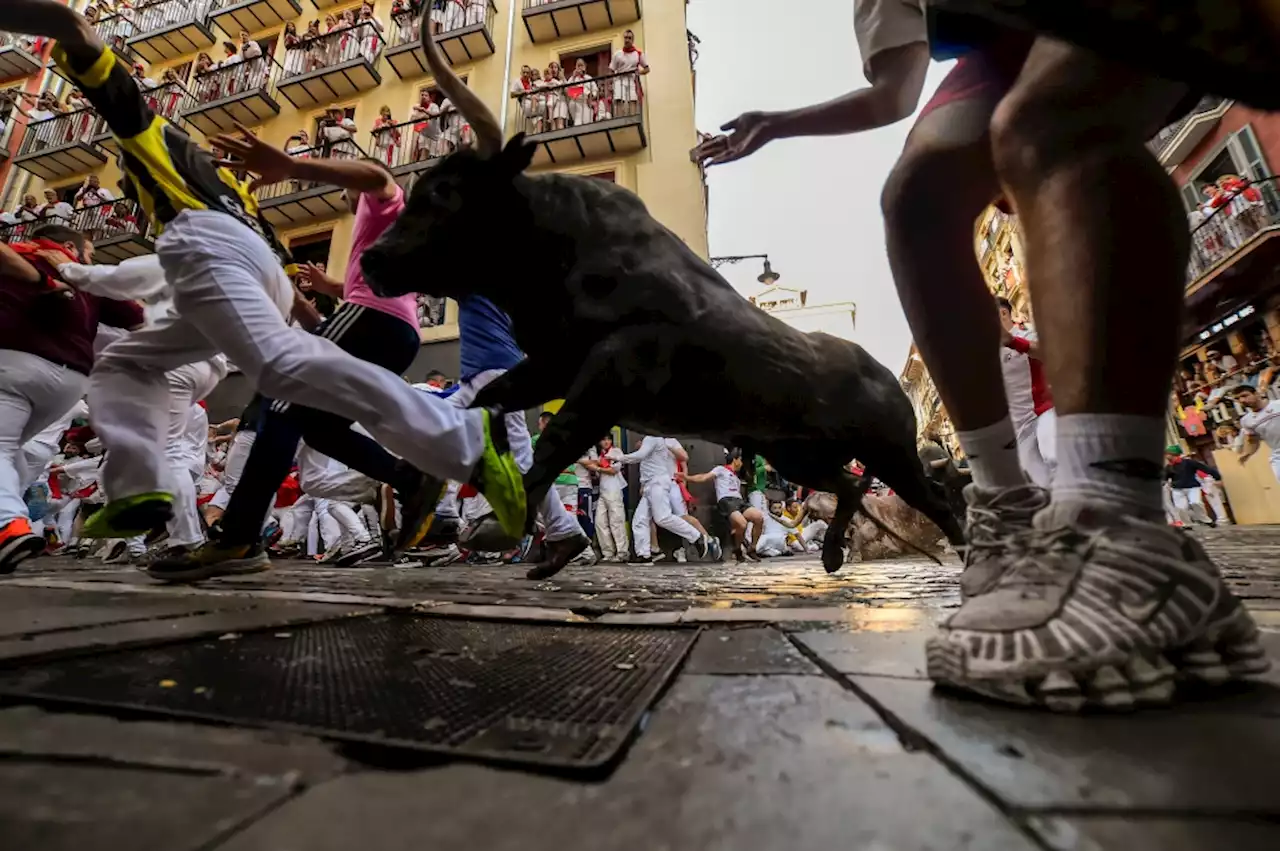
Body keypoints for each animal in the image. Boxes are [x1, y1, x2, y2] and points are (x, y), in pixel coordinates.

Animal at [358, 142, 962, 570]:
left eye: (444, 193)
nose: (371, 259)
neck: (563, 251)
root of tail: (882, 372)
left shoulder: (610, 373)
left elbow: (557, 438)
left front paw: (503, 524)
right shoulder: (555, 364)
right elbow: (488, 399)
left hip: (890, 450)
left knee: (931, 495)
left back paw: (960, 549)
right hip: (798, 454)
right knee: (848, 487)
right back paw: (836, 552)